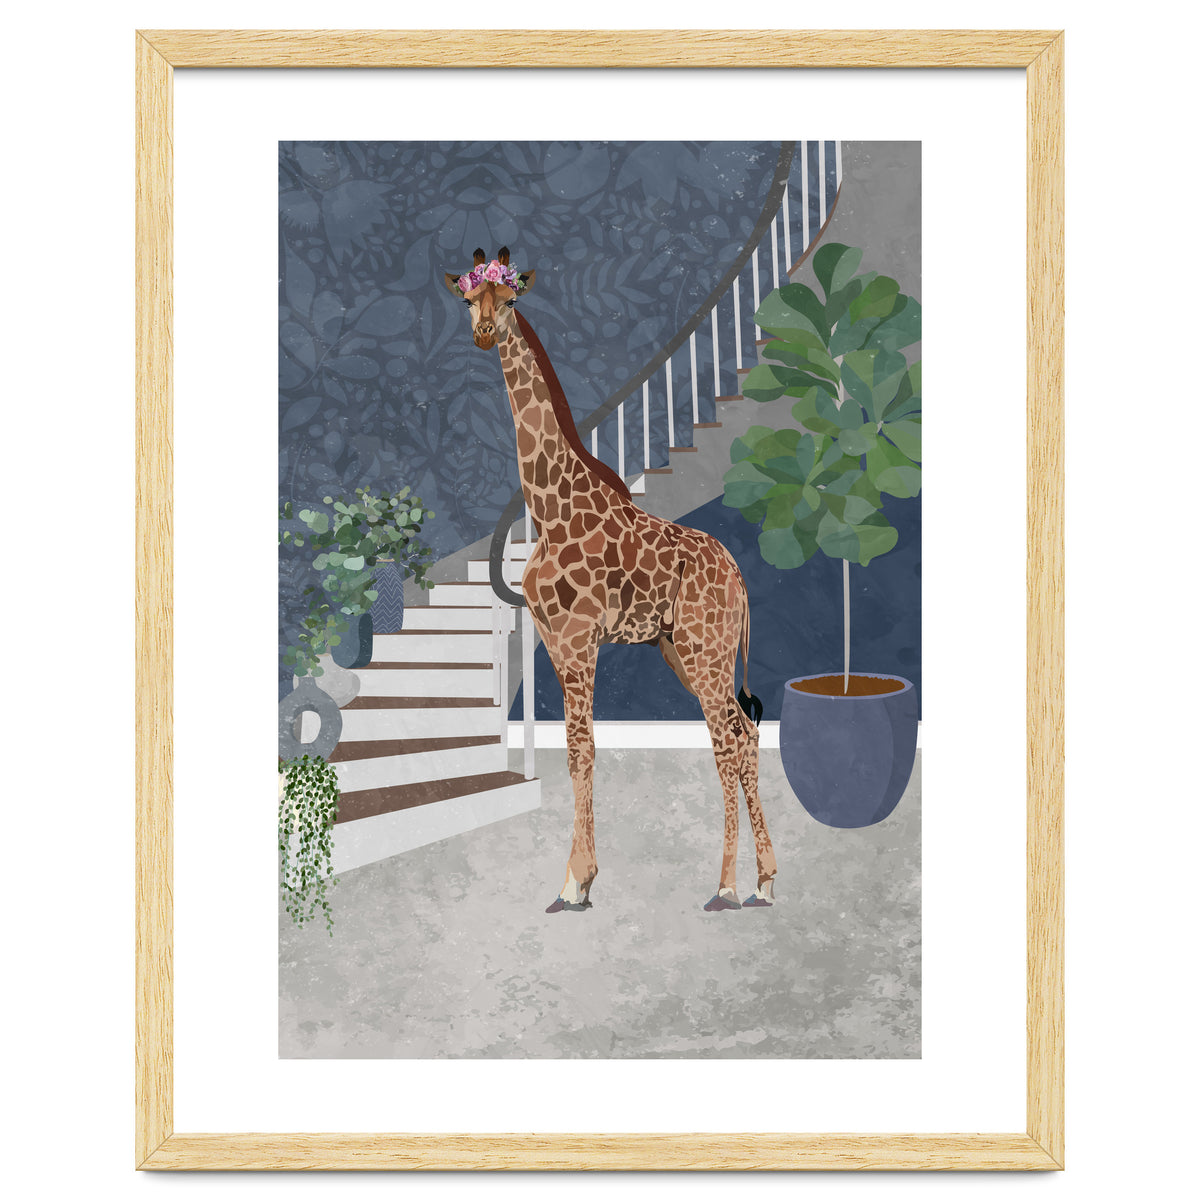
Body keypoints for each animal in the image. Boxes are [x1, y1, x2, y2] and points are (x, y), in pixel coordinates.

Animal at [444, 247, 777, 913]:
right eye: (469, 298)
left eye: (511, 298)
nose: (485, 332)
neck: (549, 507)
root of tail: (738, 575)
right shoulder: (552, 640)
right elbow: (577, 751)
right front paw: (581, 877)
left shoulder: (578, 640)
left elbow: (582, 747)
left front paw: (575, 881)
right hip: (686, 650)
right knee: (745, 734)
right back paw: (764, 881)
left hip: (705, 650)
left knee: (728, 741)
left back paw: (727, 885)